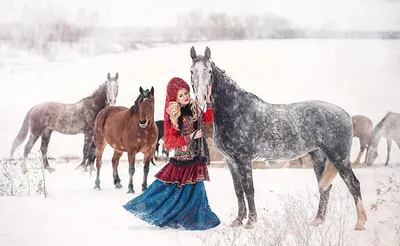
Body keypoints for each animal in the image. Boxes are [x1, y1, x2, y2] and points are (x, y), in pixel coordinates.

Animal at [189, 46, 368, 231]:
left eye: (209, 71)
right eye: (192, 71)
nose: (201, 98)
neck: (235, 110)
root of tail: (346, 114)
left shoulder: (243, 159)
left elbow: (249, 189)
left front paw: (251, 222)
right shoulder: (231, 161)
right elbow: (238, 191)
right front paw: (237, 222)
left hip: (339, 158)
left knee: (353, 184)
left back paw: (359, 223)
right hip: (319, 157)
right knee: (325, 188)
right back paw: (317, 220)